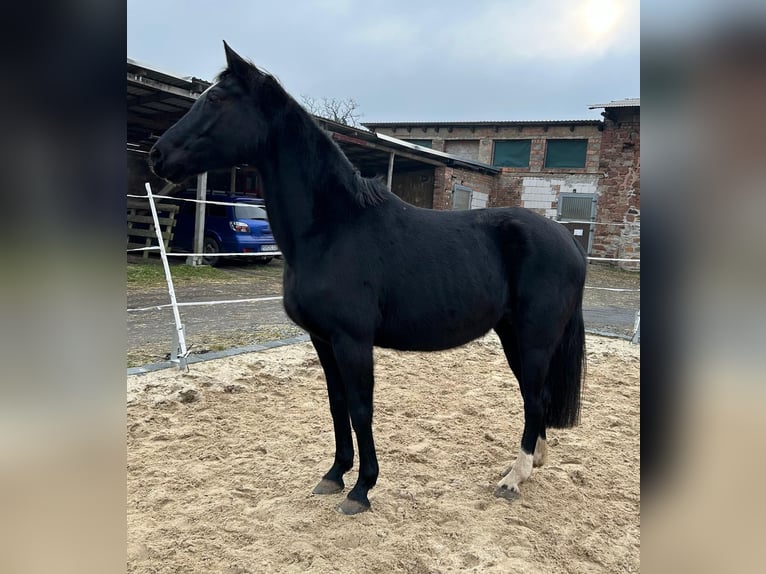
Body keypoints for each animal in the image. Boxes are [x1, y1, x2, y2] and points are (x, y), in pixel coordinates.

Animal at [150, 41, 588, 516]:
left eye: (216, 99)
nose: (157, 155)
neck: (332, 228)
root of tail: (567, 240)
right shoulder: (323, 340)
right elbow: (337, 405)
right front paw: (334, 475)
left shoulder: (353, 341)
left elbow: (361, 410)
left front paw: (362, 489)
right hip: (512, 334)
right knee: (534, 398)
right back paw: (532, 464)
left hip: (533, 338)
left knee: (535, 398)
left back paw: (513, 478)